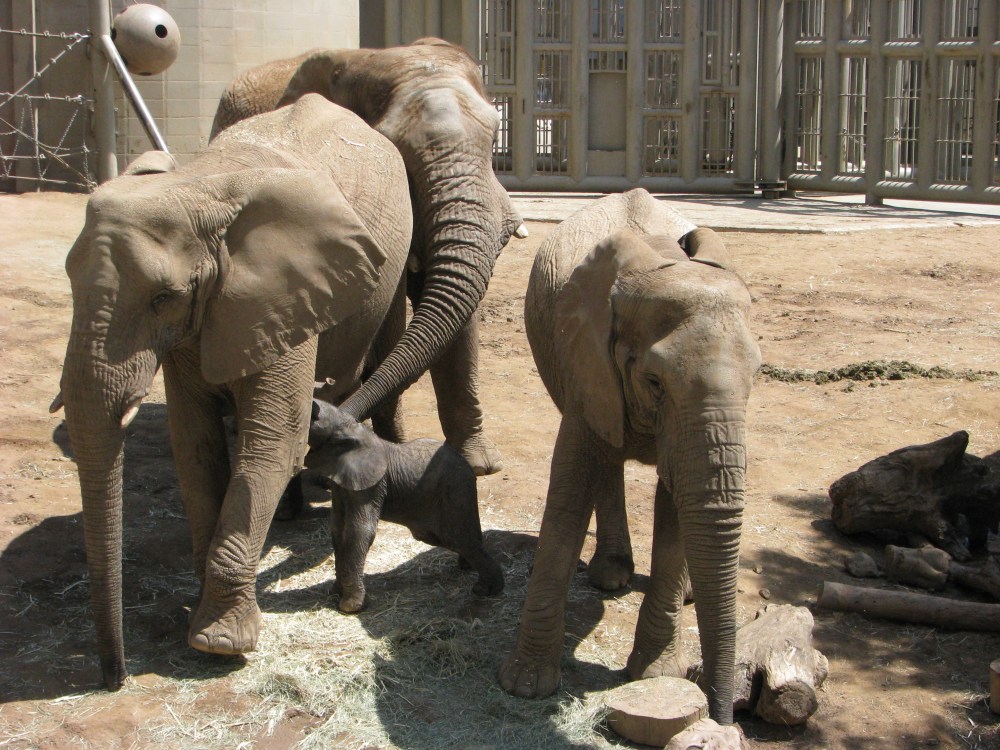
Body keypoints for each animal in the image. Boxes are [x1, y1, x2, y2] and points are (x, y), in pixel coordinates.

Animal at [54, 94, 413, 690]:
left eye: (164, 298)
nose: (114, 678)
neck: (198, 187)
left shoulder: (283, 293)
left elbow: (271, 444)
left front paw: (218, 644)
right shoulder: (199, 324)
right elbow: (194, 445)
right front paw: (200, 610)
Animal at [304, 400, 504, 613]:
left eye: (316, 417)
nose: (313, 404)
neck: (351, 428)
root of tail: (468, 467)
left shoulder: (372, 485)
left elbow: (359, 531)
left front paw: (350, 608)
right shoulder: (342, 484)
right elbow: (338, 530)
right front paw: (335, 593)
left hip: (455, 488)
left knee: (458, 537)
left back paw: (485, 589)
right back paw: (468, 568)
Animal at [498, 189, 761, 724]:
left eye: (758, 376)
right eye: (655, 381)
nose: (724, 718)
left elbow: (677, 507)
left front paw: (656, 676)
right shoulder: (585, 363)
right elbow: (571, 489)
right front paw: (525, 687)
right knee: (607, 462)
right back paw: (610, 576)